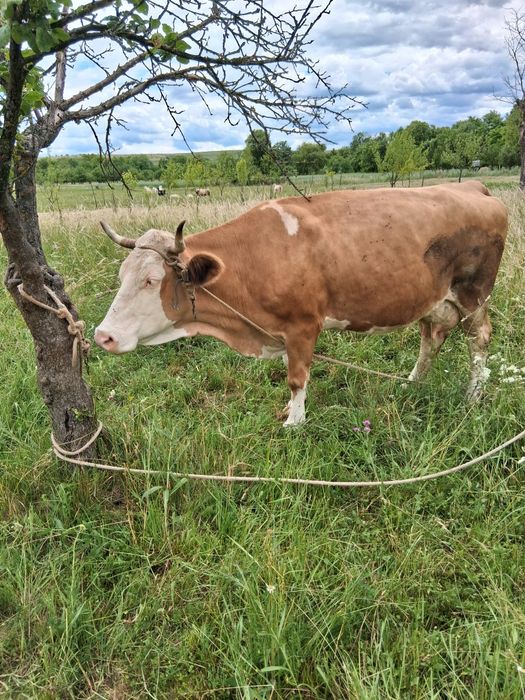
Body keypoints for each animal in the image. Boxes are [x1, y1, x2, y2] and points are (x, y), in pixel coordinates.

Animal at [94, 181, 507, 426]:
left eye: (151, 281)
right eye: (122, 275)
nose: (102, 336)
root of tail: (472, 186)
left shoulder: (303, 325)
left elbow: (297, 378)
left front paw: (294, 422)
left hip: (474, 295)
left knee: (480, 340)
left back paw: (473, 397)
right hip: (433, 299)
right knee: (431, 339)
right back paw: (411, 384)